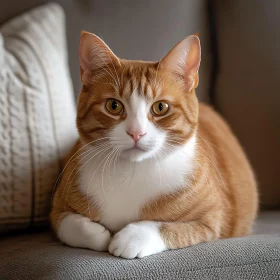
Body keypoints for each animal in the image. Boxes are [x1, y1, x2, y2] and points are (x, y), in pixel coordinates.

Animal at [49, 30, 258, 258]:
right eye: (113, 106)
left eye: (160, 107)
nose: (136, 132)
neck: (131, 172)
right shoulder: (57, 209)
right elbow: (69, 225)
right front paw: (99, 233)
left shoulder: (212, 218)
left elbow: (169, 228)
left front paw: (133, 237)